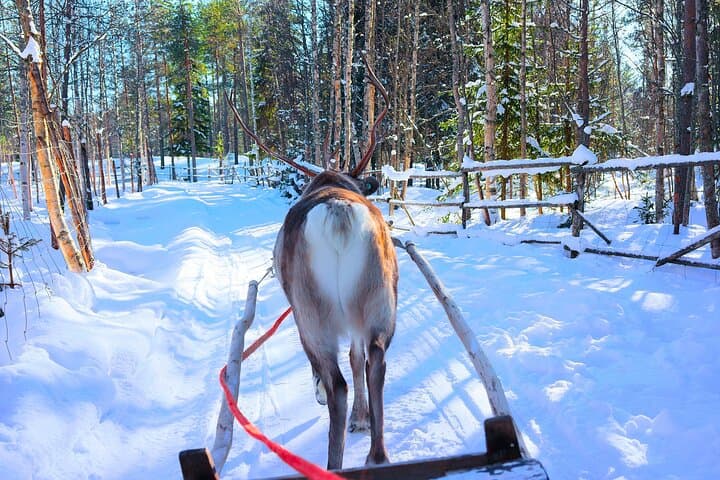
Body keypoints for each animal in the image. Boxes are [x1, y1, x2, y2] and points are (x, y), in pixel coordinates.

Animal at [226, 57, 396, 470]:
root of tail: (338, 213)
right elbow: (356, 356)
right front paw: (361, 419)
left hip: (310, 314)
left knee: (337, 384)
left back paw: (332, 460)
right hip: (378, 299)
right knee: (374, 362)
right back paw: (376, 456)